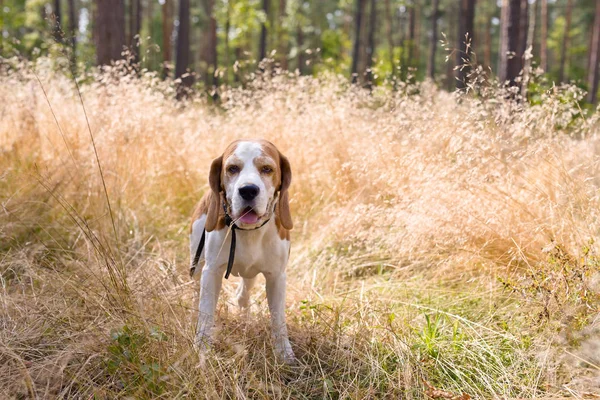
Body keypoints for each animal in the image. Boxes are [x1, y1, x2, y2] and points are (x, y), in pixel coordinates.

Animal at [190, 139, 296, 364]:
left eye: (267, 169)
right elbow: (205, 313)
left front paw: (284, 354)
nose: (248, 190)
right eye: (232, 168)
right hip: (196, 263)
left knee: (243, 294)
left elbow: (278, 319)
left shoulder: (277, 277)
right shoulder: (211, 273)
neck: (249, 232)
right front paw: (201, 349)